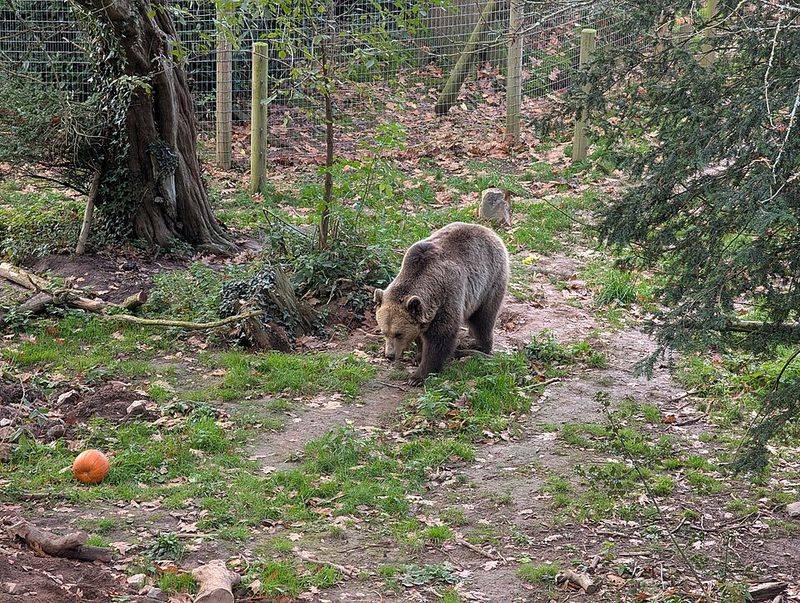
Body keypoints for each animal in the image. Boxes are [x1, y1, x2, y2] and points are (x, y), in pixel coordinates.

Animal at [374, 221, 509, 385]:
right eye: (384, 332)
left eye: (398, 333)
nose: (390, 355)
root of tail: (488, 230)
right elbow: (421, 334)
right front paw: (418, 356)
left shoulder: (448, 295)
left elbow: (441, 337)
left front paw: (417, 376)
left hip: (490, 281)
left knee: (484, 318)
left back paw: (482, 347)